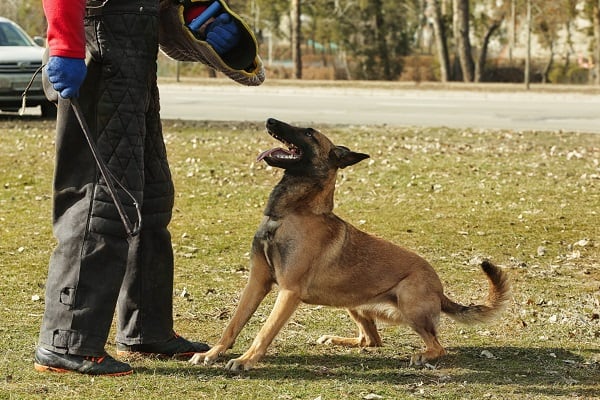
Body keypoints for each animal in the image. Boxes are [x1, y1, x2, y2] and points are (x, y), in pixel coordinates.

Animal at [190, 118, 508, 372]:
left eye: (308, 132)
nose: (270, 120)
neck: (292, 212)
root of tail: (441, 291)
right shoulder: (257, 282)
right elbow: (233, 324)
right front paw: (212, 353)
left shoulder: (288, 291)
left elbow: (264, 331)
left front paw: (246, 360)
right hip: (353, 305)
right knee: (371, 339)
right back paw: (337, 339)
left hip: (409, 302)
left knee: (436, 345)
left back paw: (423, 355)